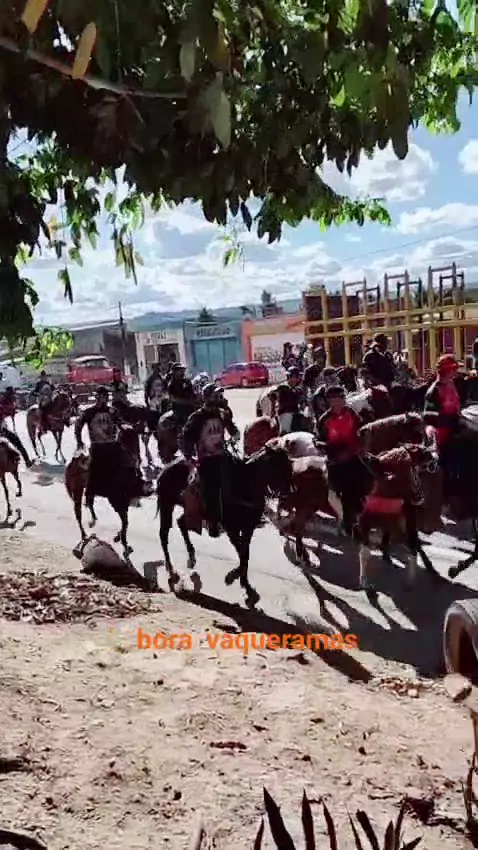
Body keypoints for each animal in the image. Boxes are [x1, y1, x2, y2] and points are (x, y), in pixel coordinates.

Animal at [155, 444, 293, 606]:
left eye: (289, 465)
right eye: (279, 466)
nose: (290, 495)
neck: (245, 483)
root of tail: (166, 469)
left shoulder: (248, 528)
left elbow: (245, 554)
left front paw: (244, 584)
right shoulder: (231, 528)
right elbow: (242, 553)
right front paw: (235, 578)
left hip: (191, 511)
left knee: (181, 523)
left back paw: (191, 557)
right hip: (167, 505)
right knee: (164, 534)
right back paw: (172, 571)